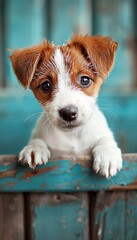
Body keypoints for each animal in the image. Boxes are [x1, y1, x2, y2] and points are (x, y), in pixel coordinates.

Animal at [10, 34, 122, 177]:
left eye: (85, 80)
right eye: (46, 85)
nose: (68, 113)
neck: (72, 136)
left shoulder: (103, 133)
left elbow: (105, 139)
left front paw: (107, 152)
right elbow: (37, 139)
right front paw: (34, 147)